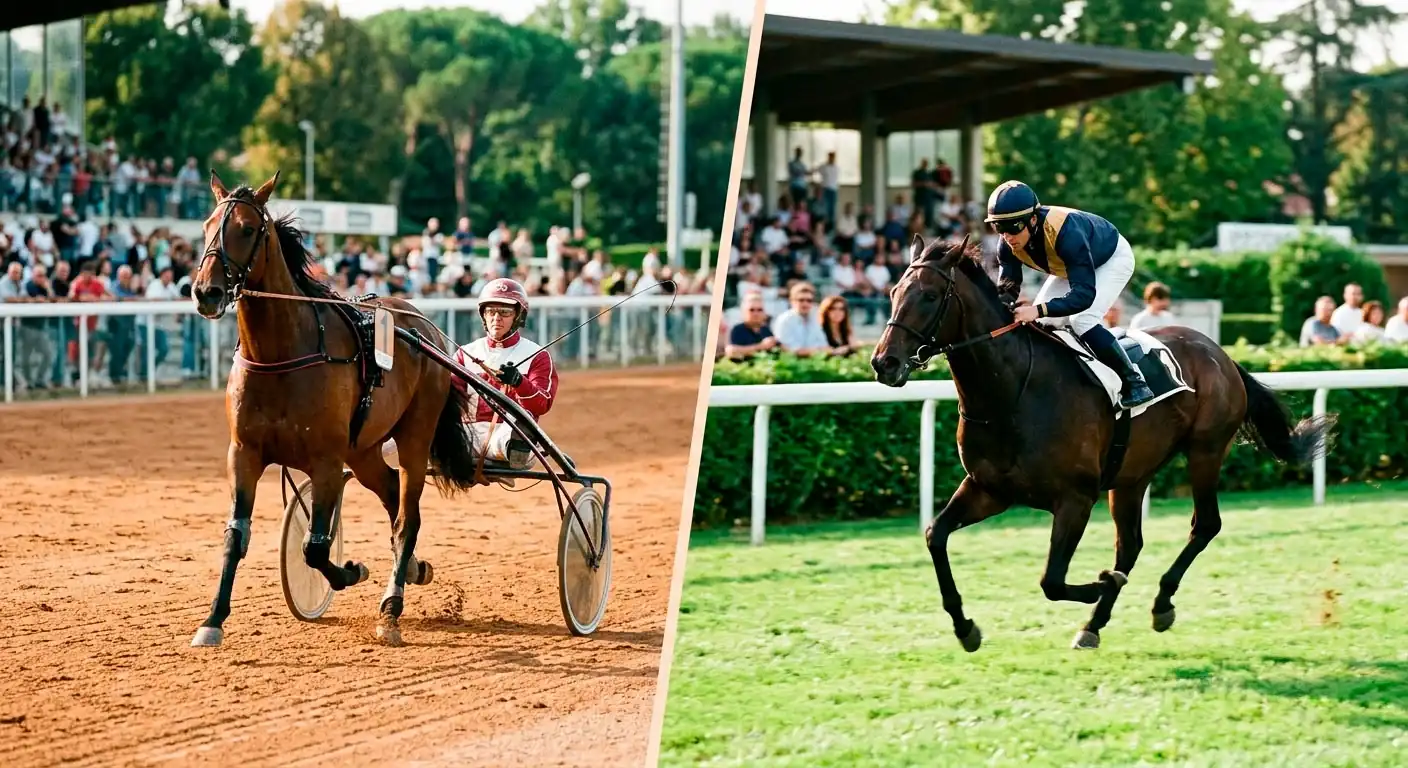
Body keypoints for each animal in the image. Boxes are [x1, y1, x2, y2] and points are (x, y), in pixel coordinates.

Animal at [188, 170, 481, 648]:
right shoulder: (244, 454)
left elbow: (315, 546)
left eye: (247, 229)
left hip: (414, 436)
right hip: (362, 451)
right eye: (207, 226)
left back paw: (392, 608)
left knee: (407, 515)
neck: (281, 355)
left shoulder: (325, 461)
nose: (206, 292)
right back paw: (413, 567)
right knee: (390, 493)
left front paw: (350, 571)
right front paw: (212, 620)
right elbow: (236, 536)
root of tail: (422, 325)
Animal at [870, 234, 1334, 652]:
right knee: (1130, 544)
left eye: (929, 296)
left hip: (1205, 450)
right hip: (1131, 474)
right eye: (893, 293)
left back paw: (1159, 603)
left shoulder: (1075, 498)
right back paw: (1094, 625)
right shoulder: (989, 489)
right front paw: (965, 627)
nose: (883, 363)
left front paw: (1101, 583)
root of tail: (1221, 354)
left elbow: (1052, 580)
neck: (1013, 391)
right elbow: (936, 535)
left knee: (1204, 525)